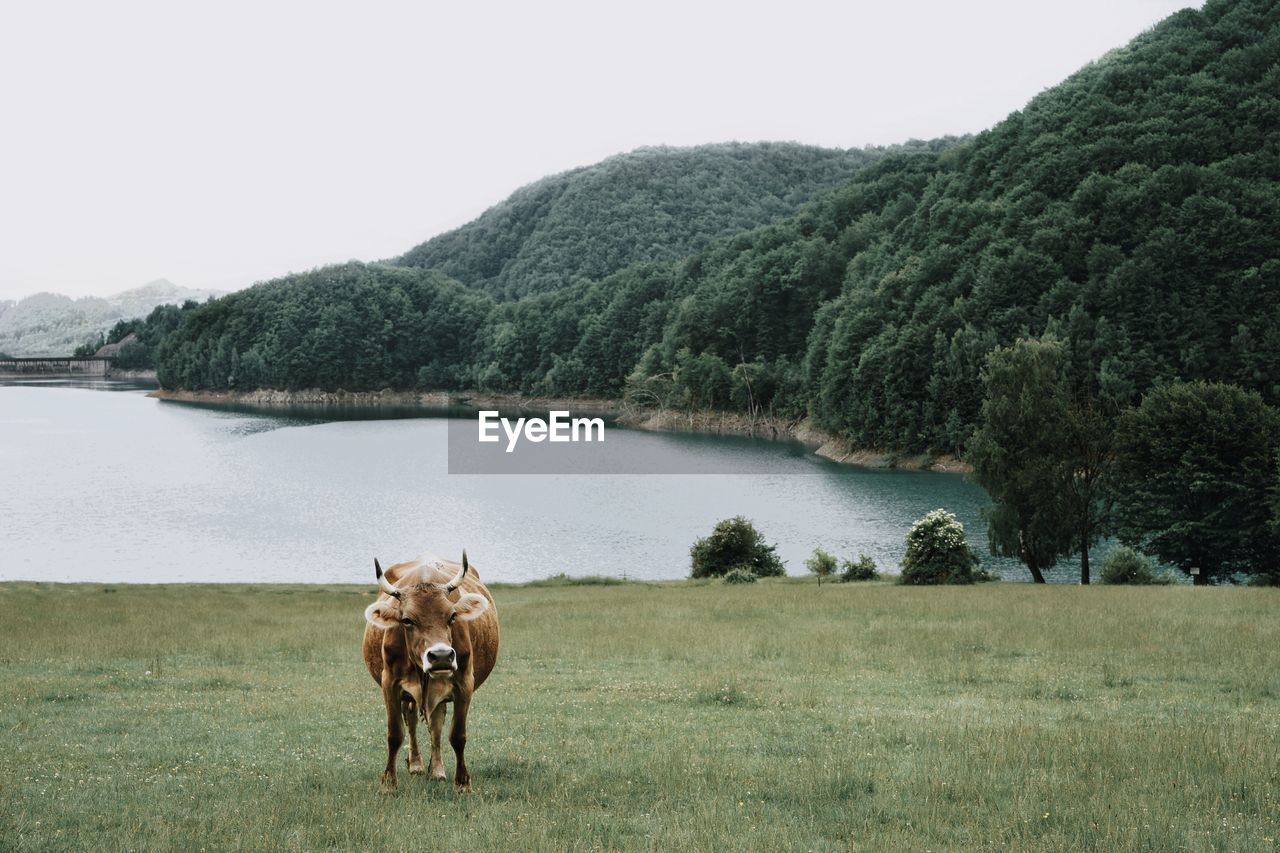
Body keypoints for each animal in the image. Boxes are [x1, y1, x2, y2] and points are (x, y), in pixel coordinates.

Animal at [366, 548, 499, 788]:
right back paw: (416, 764)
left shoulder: (464, 683)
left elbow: (457, 735)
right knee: (411, 721)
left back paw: (436, 769)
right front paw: (388, 783)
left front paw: (462, 782)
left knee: (436, 725)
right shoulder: (389, 684)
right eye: (407, 620)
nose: (441, 656)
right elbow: (394, 734)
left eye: (452, 616)